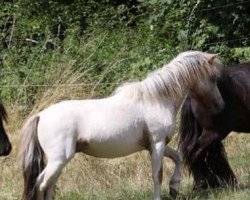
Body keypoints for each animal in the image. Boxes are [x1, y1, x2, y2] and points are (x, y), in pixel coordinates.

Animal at [19, 51, 223, 200]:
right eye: (213, 78)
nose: (220, 105)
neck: (156, 100)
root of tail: (40, 116)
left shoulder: (155, 145)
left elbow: (178, 157)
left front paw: (174, 188)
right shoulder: (157, 144)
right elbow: (157, 175)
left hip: (58, 162)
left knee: (48, 186)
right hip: (59, 160)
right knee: (41, 185)